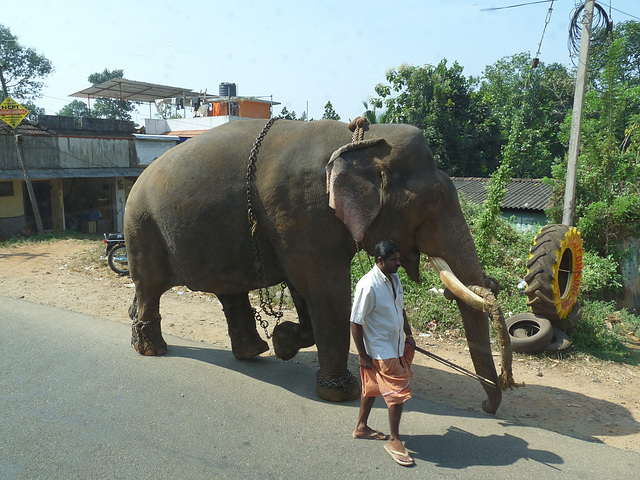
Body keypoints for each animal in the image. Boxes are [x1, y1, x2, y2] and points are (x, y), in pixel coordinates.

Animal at [124, 118, 516, 414]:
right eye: (433, 201)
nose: (486, 406)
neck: (360, 140)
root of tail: (138, 177)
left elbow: (306, 291)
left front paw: (283, 343)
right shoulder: (301, 212)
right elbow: (326, 292)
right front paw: (340, 394)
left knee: (226, 292)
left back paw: (253, 352)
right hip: (141, 225)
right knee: (150, 286)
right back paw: (152, 349)